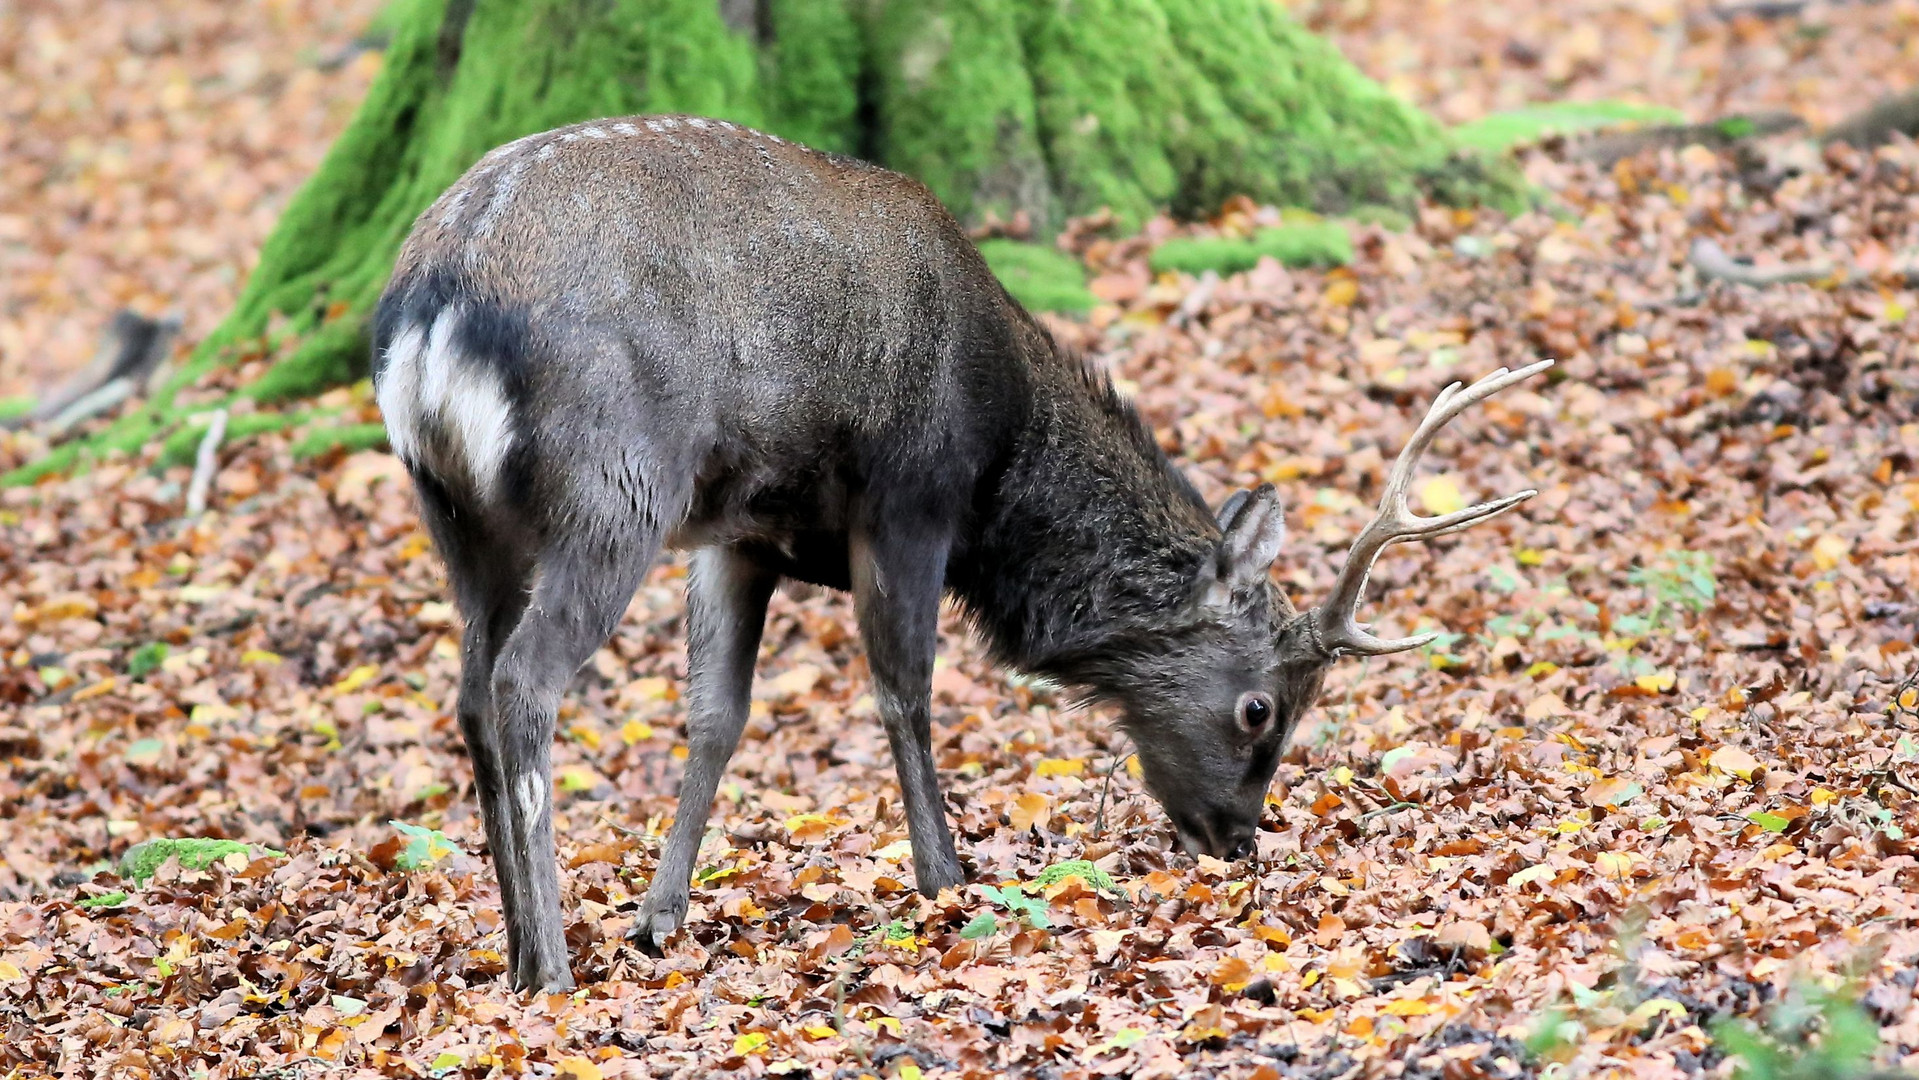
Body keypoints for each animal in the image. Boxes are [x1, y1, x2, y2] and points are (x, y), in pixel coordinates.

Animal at [374, 114, 1558, 989]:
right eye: (1260, 708)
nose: (1236, 837)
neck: (1001, 465)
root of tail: (430, 309)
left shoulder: (742, 529)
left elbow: (716, 716)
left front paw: (661, 915)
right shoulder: (908, 497)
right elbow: (904, 687)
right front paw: (945, 875)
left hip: (461, 517)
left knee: (472, 691)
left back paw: (518, 947)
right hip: (614, 488)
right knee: (526, 683)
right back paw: (550, 966)